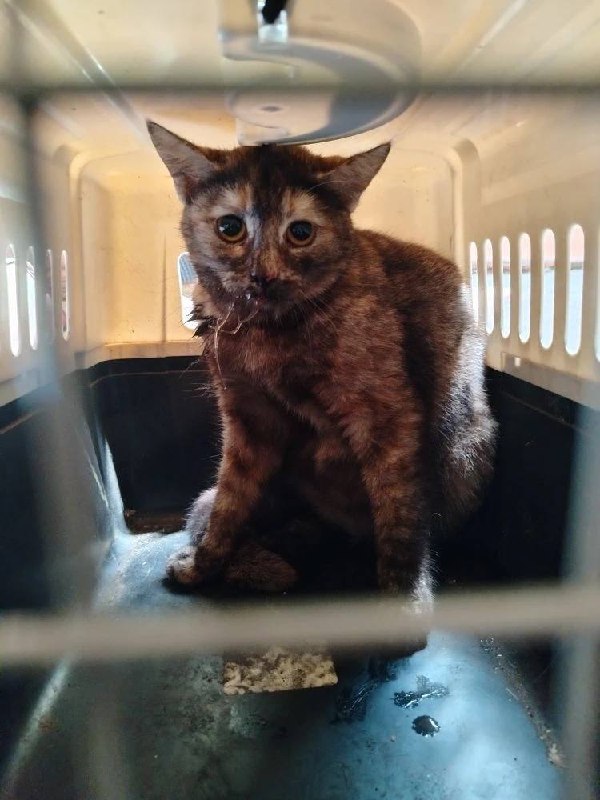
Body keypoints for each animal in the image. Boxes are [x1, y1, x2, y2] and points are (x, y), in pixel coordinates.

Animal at [147, 120, 496, 610]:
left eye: (300, 232)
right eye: (230, 227)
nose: (263, 275)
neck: (266, 334)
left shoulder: (389, 418)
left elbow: (401, 522)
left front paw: (404, 603)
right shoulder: (248, 422)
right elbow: (229, 505)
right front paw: (203, 566)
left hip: (465, 453)